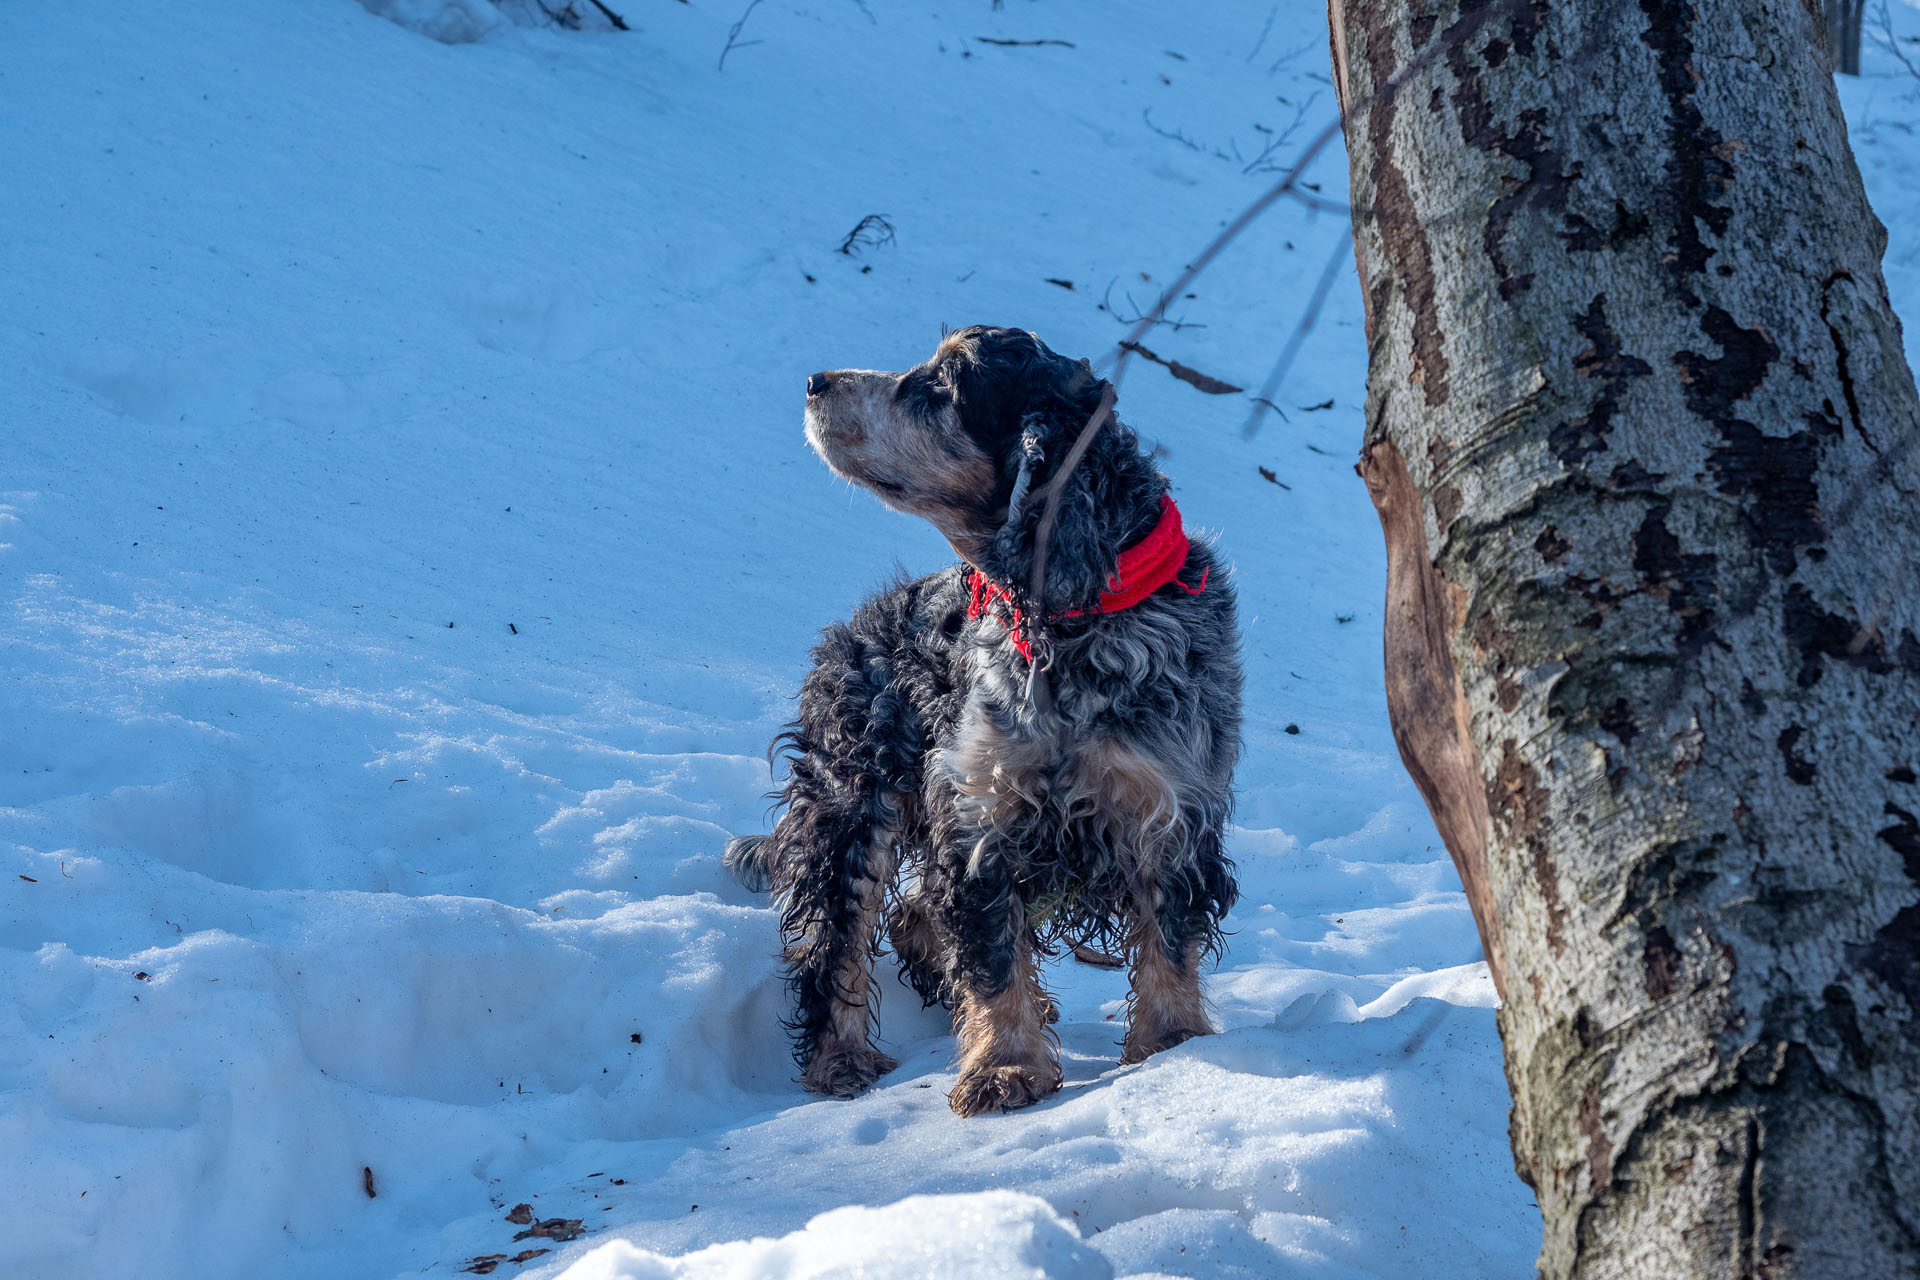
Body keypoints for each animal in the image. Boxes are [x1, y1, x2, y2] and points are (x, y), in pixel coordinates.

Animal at [721, 326, 1244, 1113]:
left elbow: (1169, 941)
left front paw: (1170, 1047)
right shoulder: (982, 816)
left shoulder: (1170, 810)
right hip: (852, 810)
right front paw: (1005, 1066)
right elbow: (992, 956)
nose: (815, 381)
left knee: (910, 917)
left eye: (940, 387)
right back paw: (841, 1059)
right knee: (837, 941)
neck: (1074, 628)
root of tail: (857, 625)